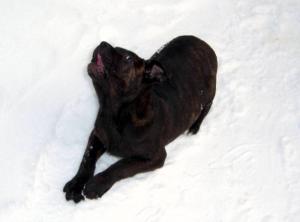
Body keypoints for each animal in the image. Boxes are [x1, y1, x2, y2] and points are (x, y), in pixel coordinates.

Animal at [63, 35, 218, 203]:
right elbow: (87, 158)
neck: (116, 113)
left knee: (207, 107)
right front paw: (76, 184)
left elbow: (122, 165)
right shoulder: (97, 135)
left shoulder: (155, 156)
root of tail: (203, 43)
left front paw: (96, 184)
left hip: (209, 92)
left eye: (127, 58)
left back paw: (194, 126)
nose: (102, 43)